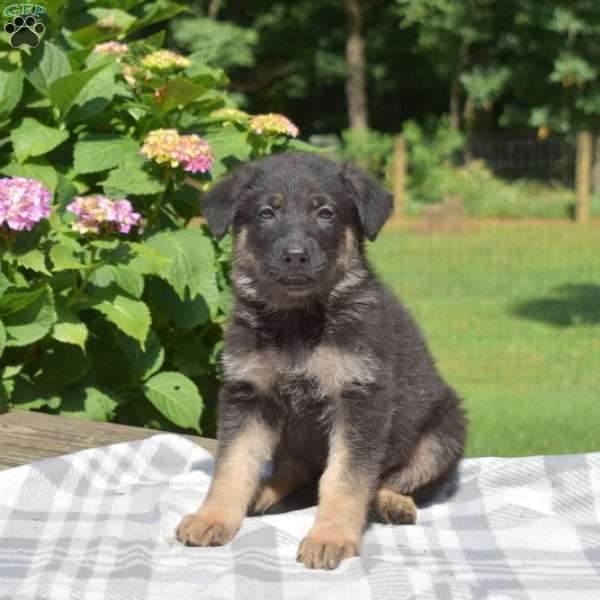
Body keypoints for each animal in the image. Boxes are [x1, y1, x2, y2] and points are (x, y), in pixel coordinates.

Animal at [176, 152, 466, 568]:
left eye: (326, 213)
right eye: (267, 213)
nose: (295, 256)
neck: (298, 320)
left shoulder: (360, 400)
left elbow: (346, 478)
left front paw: (330, 535)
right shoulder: (248, 394)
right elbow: (233, 464)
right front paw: (213, 516)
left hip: (444, 432)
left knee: (392, 478)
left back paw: (390, 502)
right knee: (298, 468)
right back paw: (264, 492)